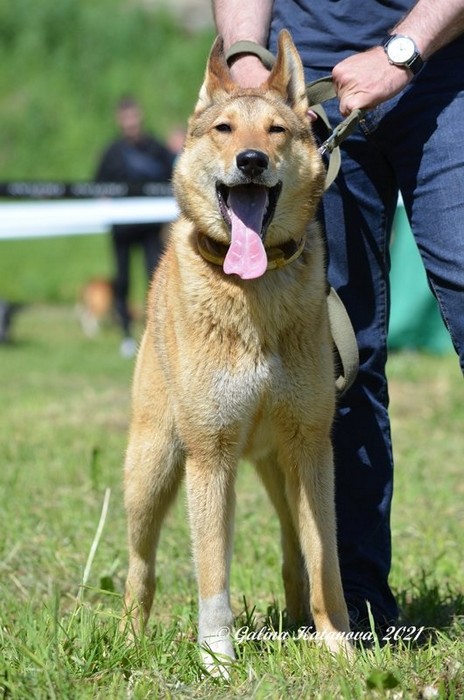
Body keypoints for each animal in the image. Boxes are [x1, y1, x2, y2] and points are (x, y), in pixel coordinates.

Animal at [122, 30, 351, 673]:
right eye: (224, 129)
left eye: (277, 131)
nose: (251, 160)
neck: (254, 289)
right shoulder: (210, 455)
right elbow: (212, 577)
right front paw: (218, 659)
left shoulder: (312, 445)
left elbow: (326, 563)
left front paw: (341, 648)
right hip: (152, 467)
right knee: (139, 568)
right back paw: (126, 639)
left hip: (278, 468)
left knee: (294, 554)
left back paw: (300, 623)